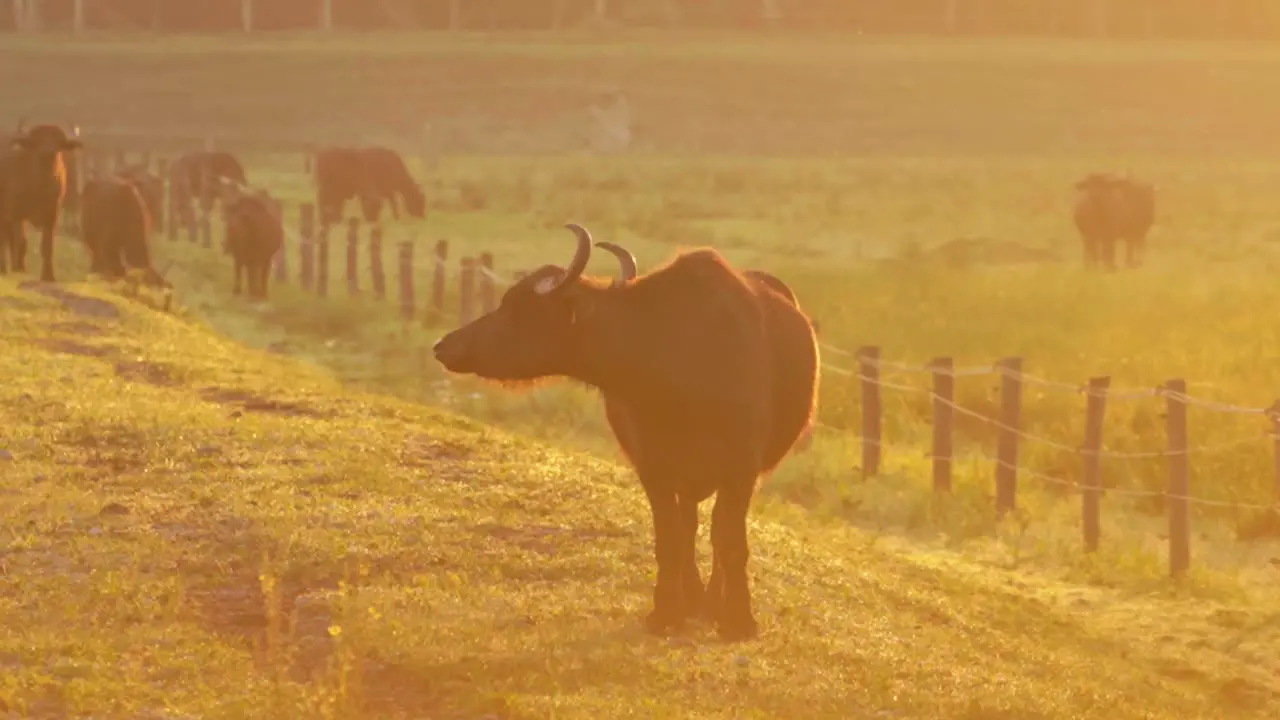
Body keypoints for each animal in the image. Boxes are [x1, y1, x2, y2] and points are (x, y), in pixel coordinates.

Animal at [0, 122, 81, 280]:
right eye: (36, 141)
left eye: (57, 141)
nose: (47, 153)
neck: (40, 186)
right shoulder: (17, 215)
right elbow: (22, 242)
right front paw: (21, 269)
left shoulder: (52, 216)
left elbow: (47, 247)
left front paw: (48, 275)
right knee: (6, 241)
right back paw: (5, 268)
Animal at [430, 224, 819, 638]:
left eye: (519, 307)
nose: (444, 345)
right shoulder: (652, 464)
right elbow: (670, 537)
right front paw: (666, 612)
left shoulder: (742, 465)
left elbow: (729, 540)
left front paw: (737, 619)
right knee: (688, 526)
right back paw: (694, 599)